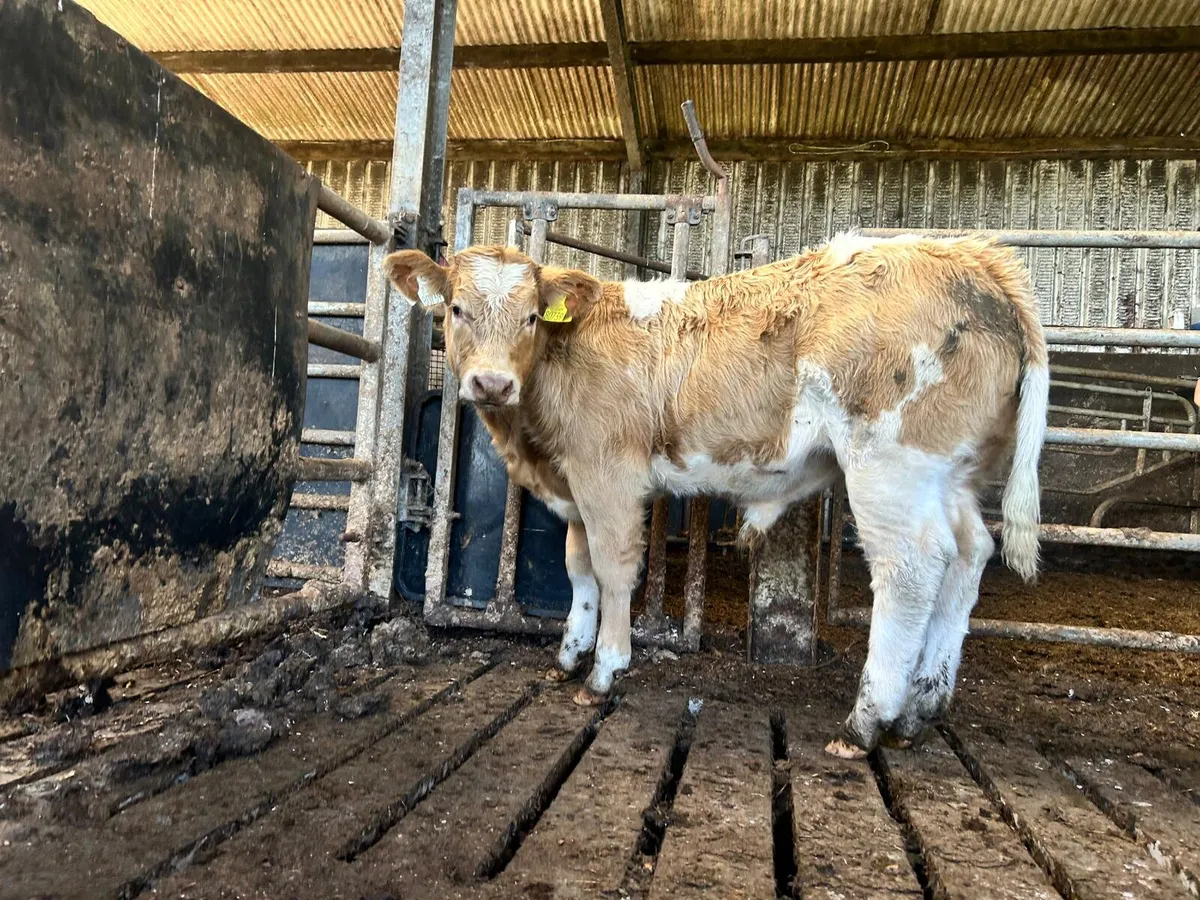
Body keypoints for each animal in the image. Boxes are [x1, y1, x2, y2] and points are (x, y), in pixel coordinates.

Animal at [383, 230, 1049, 758]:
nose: (491, 383)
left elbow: (614, 569)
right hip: (949, 472)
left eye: (529, 317)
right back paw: (921, 708)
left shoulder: (608, 474)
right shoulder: (575, 483)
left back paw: (867, 722)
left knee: (911, 569)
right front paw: (570, 651)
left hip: (890, 465)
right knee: (968, 555)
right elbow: (578, 569)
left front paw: (604, 669)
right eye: (457, 309)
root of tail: (973, 256)